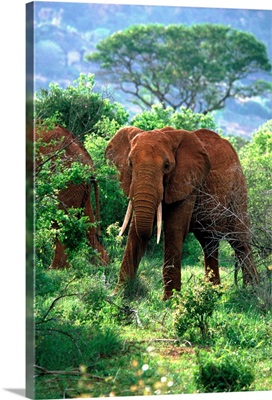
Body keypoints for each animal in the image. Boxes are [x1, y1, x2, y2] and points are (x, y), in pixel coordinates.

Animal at [35, 125, 109, 268]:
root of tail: (90, 164)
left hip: (68, 181)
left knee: (62, 221)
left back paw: (54, 270)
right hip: (80, 189)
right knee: (87, 225)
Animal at [105, 126, 258, 298]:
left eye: (167, 165)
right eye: (130, 164)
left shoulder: (187, 185)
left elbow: (174, 230)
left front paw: (169, 300)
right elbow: (134, 230)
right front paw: (118, 295)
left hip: (238, 191)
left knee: (240, 240)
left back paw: (252, 292)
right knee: (209, 242)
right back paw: (213, 292)